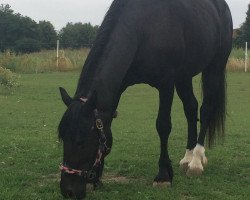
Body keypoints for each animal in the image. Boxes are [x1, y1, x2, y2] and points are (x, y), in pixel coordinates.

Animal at [57, 0, 232, 198]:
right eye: (62, 137)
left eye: (82, 141)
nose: (68, 191)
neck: (143, 28)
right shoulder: (119, 86)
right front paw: (95, 180)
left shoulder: (166, 83)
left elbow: (163, 125)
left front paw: (163, 176)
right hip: (184, 75)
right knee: (191, 108)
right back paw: (187, 158)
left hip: (214, 67)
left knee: (206, 109)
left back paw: (196, 161)